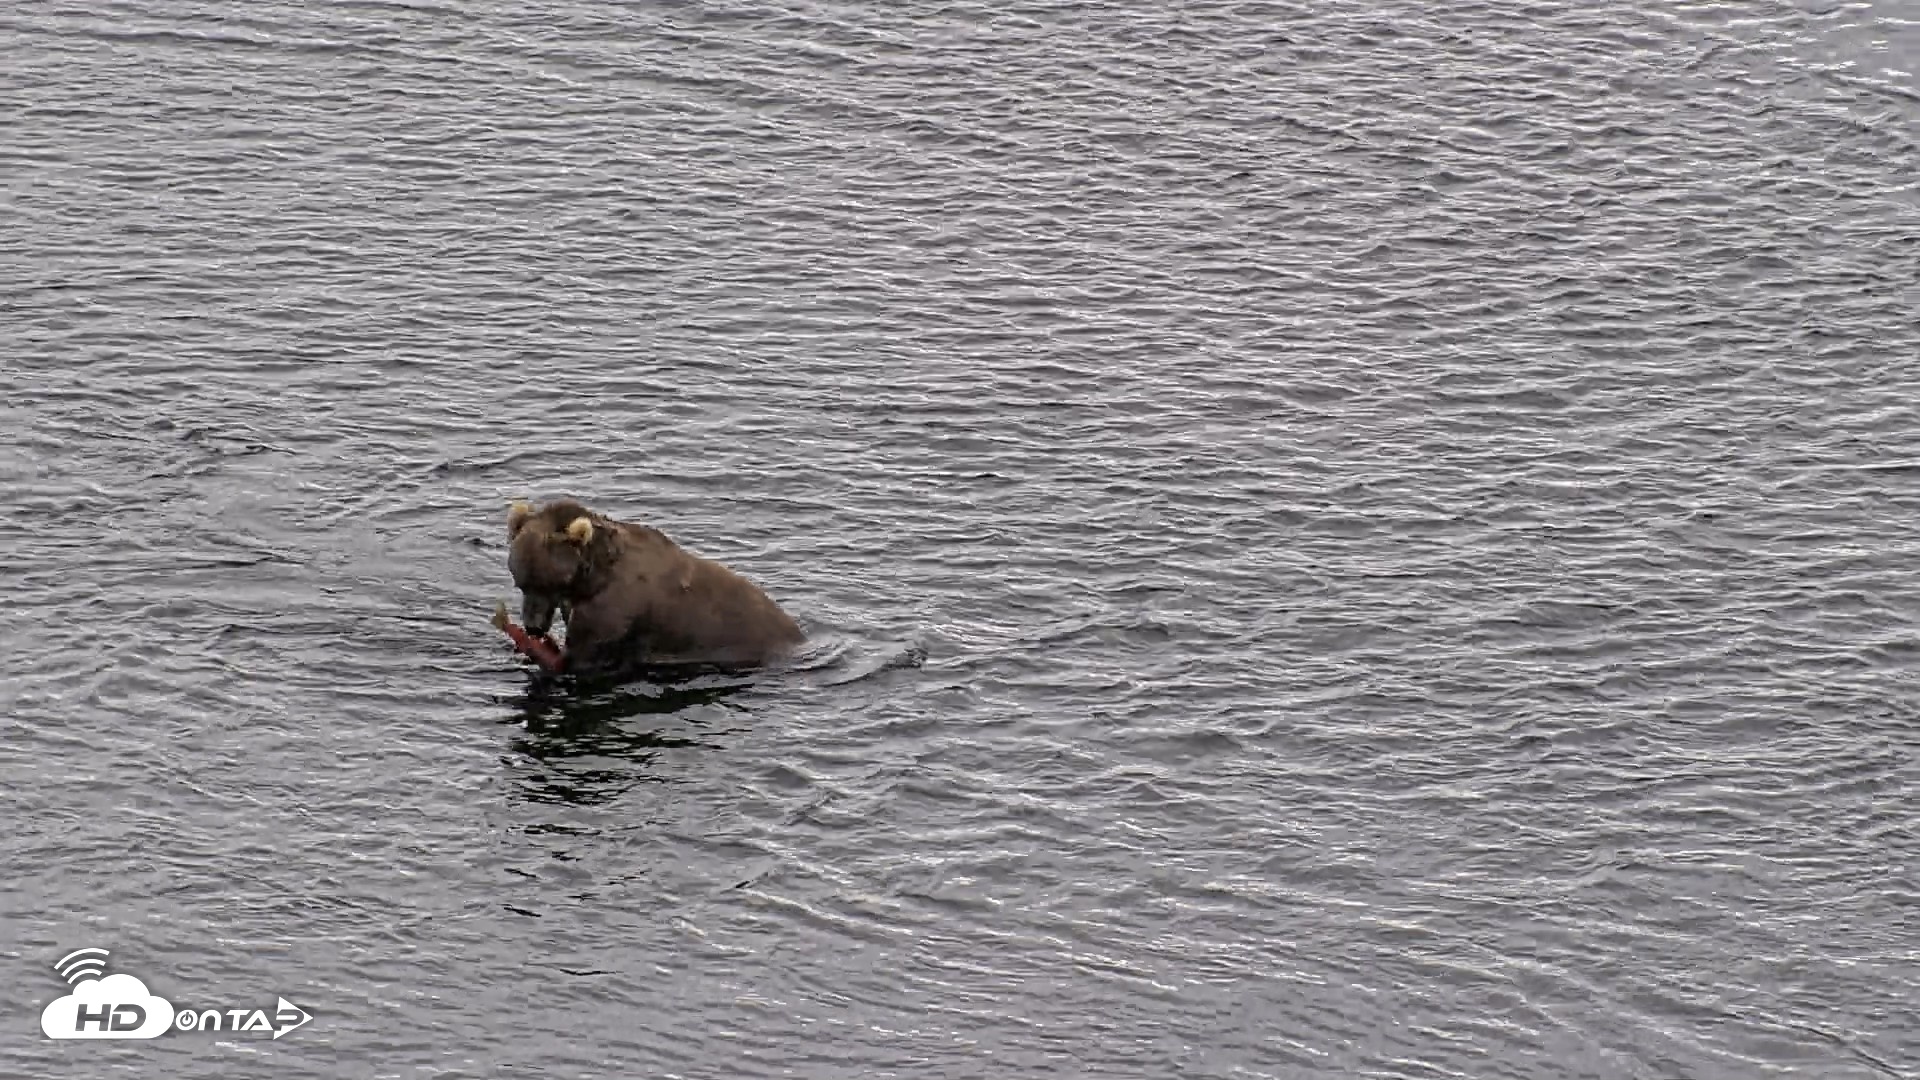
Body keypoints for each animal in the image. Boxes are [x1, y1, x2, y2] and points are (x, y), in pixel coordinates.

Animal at [504, 498, 805, 676]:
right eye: (520, 582)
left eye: (549, 582)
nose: (533, 627)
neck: (592, 577)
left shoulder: (615, 605)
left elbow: (586, 653)